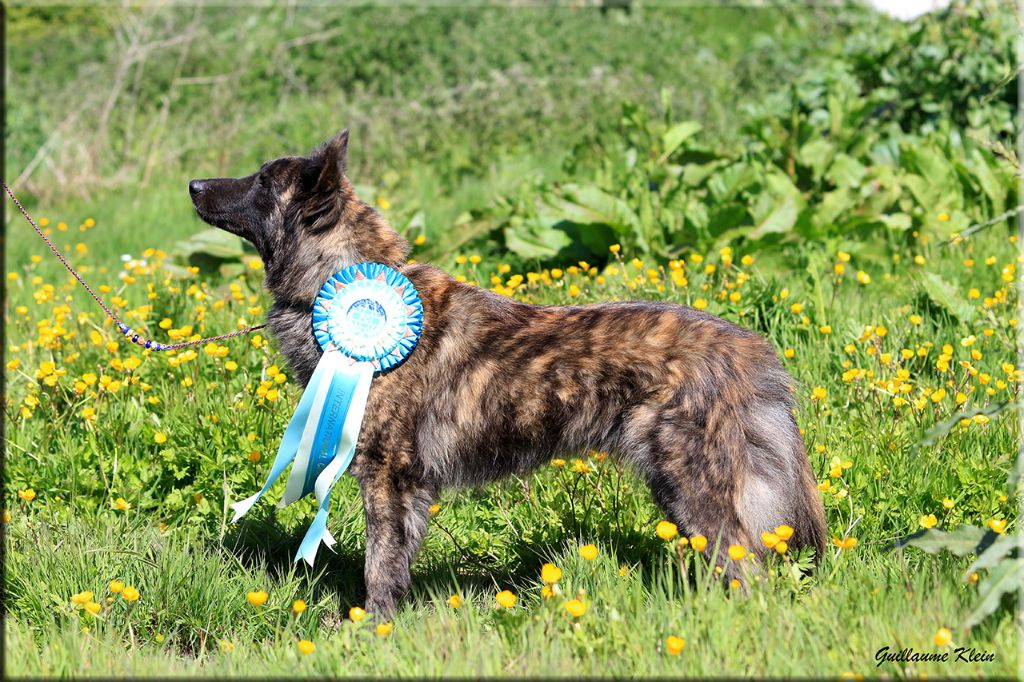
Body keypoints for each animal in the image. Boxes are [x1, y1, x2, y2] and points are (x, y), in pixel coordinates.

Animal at [189, 130, 826, 619]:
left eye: (262, 180)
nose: (194, 186)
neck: (344, 283)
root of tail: (751, 352)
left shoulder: (388, 479)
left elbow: (380, 568)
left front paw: (374, 630)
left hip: (694, 489)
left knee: (746, 573)